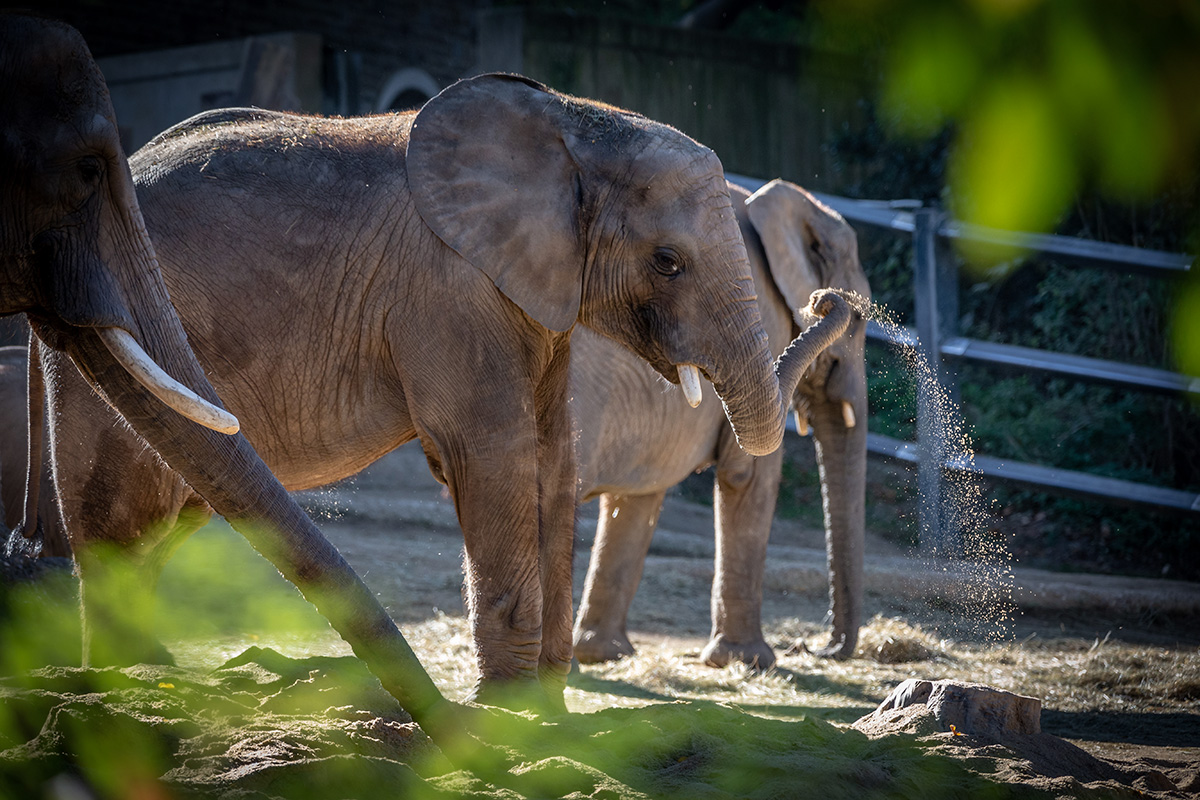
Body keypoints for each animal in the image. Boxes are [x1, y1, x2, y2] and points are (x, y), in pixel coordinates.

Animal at [573, 179, 873, 671]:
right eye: (861, 321)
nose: (813, 646)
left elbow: (642, 491)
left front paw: (606, 653)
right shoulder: (762, 324)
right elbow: (750, 475)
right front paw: (749, 662)